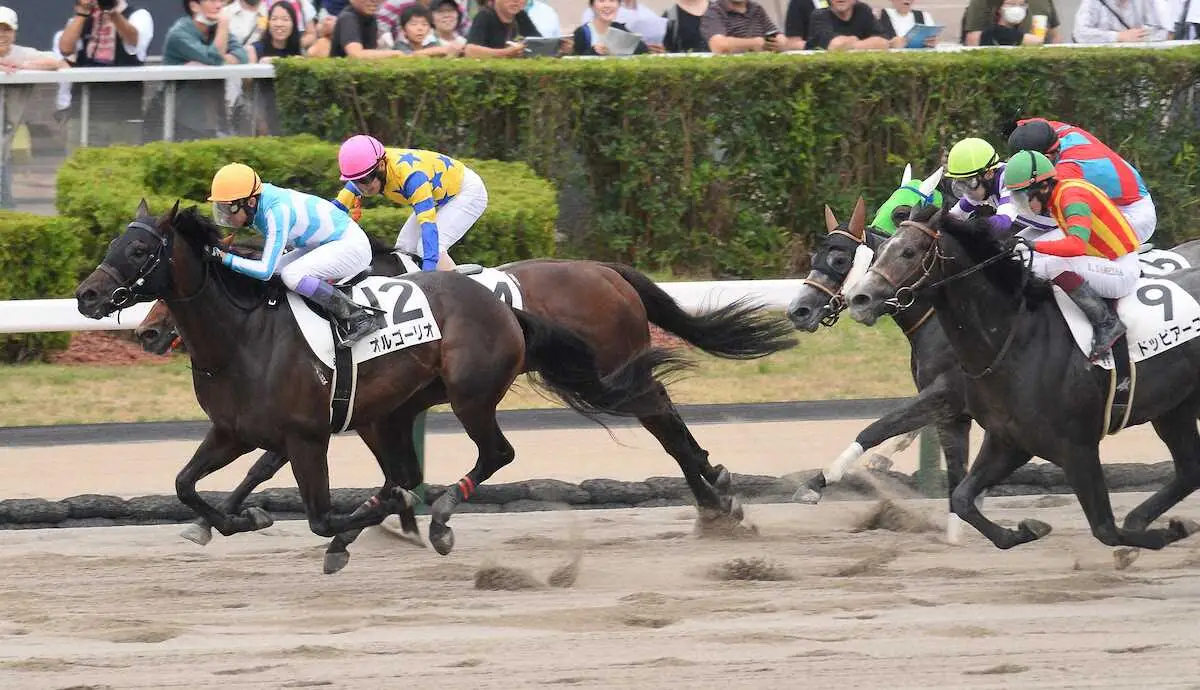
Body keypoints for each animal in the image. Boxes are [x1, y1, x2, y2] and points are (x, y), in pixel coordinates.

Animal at [77, 201, 686, 571]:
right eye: (112, 244)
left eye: (139, 251)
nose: (87, 296)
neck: (243, 336)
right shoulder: (234, 430)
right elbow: (186, 483)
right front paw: (232, 519)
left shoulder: (306, 436)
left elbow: (321, 515)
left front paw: (334, 530)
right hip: (395, 409)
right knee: (413, 471)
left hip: (470, 395)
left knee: (497, 453)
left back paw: (439, 519)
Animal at [133, 240, 796, 559]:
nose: (150, 331)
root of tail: (607, 271)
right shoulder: (363, 409)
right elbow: (279, 464)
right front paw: (219, 520)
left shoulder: (346, 410)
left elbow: (301, 464)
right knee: (664, 420)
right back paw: (714, 499)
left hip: (614, 369)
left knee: (662, 417)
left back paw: (718, 495)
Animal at [844, 207, 1200, 554]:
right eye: (881, 252)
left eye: (908, 252)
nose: (859, 298)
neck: (1015, 340)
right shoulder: (1009, 440)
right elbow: (961, 497)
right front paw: (1025, 530)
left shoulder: (1077, 447)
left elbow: (1105, 529)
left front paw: (1163, 535)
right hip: (1174, 408)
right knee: (1189, 470)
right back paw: (1143, 518)